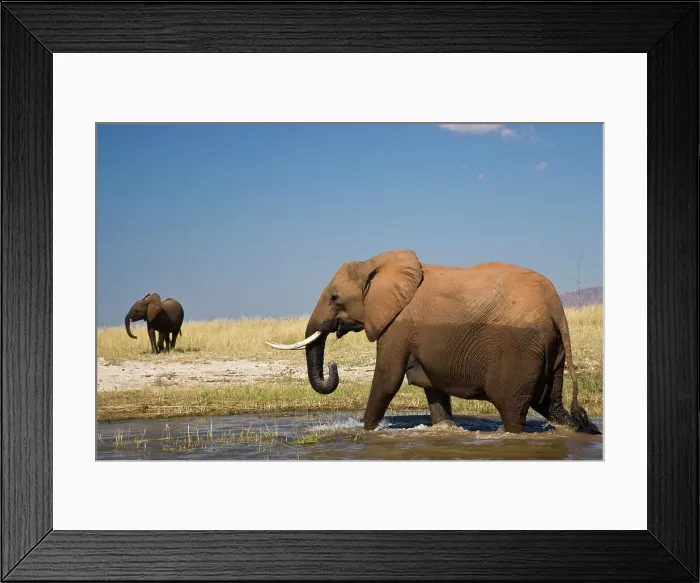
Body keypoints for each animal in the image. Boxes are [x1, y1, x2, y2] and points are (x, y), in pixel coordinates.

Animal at [266, 250, 601, 435]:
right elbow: (433, 388)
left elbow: (387, 379)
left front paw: (368, 432)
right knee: (550, 404)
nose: (334, 366)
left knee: (513, 409)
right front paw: (445, 431)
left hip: (519, 350)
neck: (374, 264)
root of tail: (556, 305)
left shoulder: (399, 325)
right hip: (551, 348)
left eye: (335, 297)